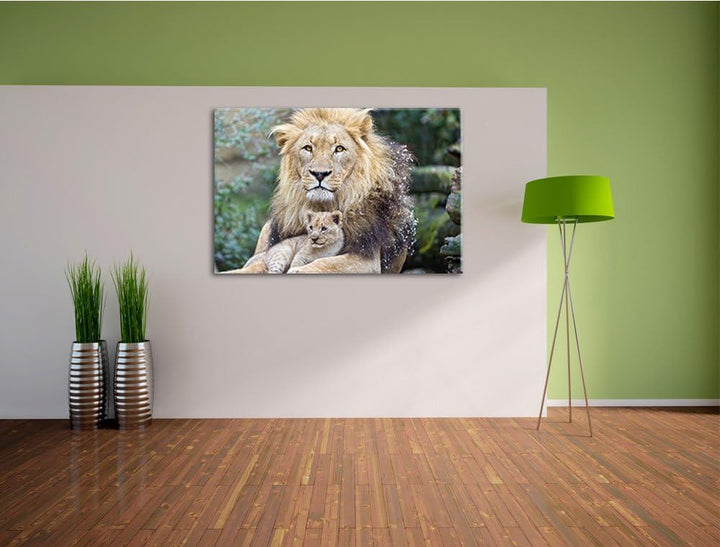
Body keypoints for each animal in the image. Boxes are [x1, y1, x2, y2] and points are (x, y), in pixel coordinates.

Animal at [232, 108, 415, 274]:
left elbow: (325, 263)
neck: (322, 206)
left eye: (339, 149)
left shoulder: (367, 258)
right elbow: (257, 265)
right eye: (308, 148)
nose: (320, 174)